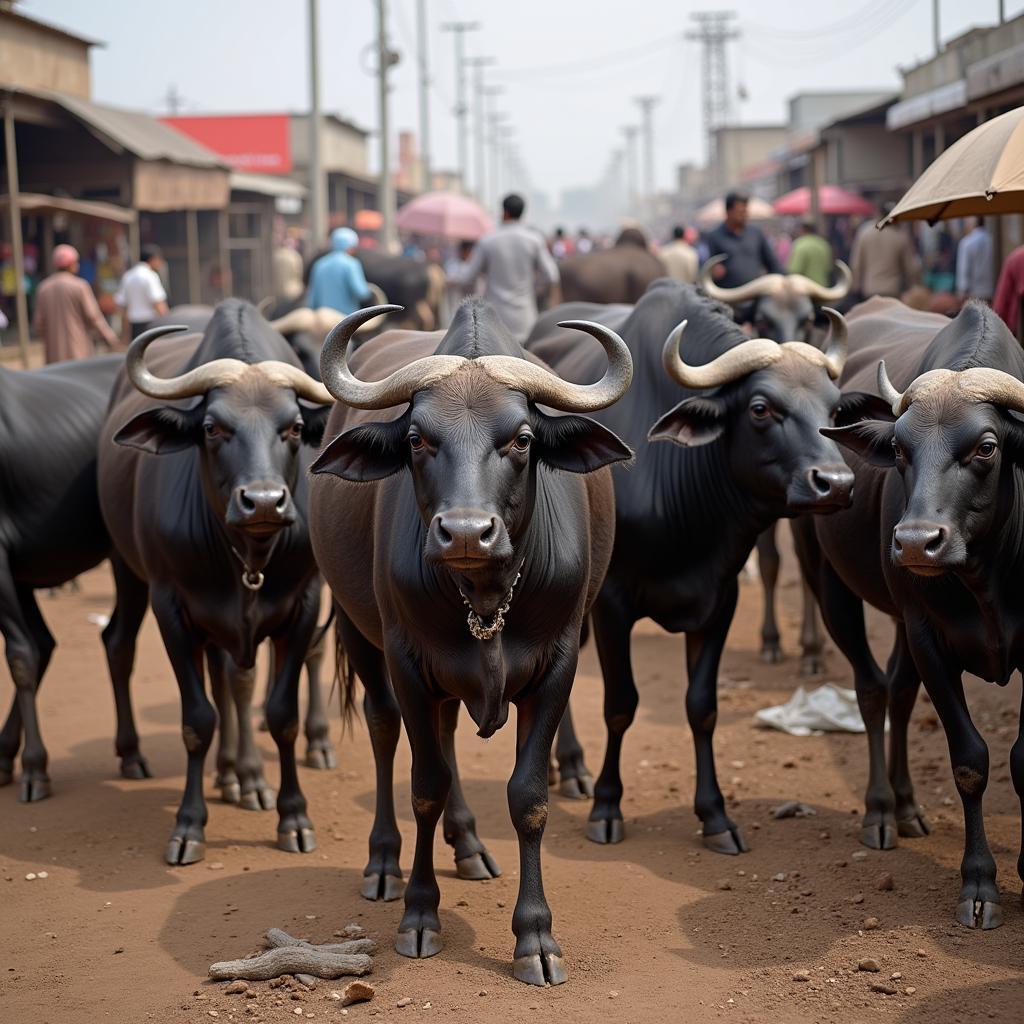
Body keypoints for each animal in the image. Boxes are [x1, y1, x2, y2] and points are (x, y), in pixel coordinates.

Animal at [307, 299, 634, 983]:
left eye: (521, 439)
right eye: (416, 439)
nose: (463, 532)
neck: (484, 600)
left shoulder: (560, 663)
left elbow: (528, 796)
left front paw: (535, 936)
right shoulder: (407, 661)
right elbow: (424, 784)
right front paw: (419, 914)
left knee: (450, 733)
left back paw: (470, 845)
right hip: (357, 630)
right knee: (384, 731)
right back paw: (384, 861)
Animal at [528, 280, 856, 856]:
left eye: (835, 408)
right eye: (760, 408)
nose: (834, 483)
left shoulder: (720, 599)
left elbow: (702, 706)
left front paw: (716, 816)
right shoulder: (612, 603)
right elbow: (620, 703)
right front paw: (607, 808)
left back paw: (566, 766)